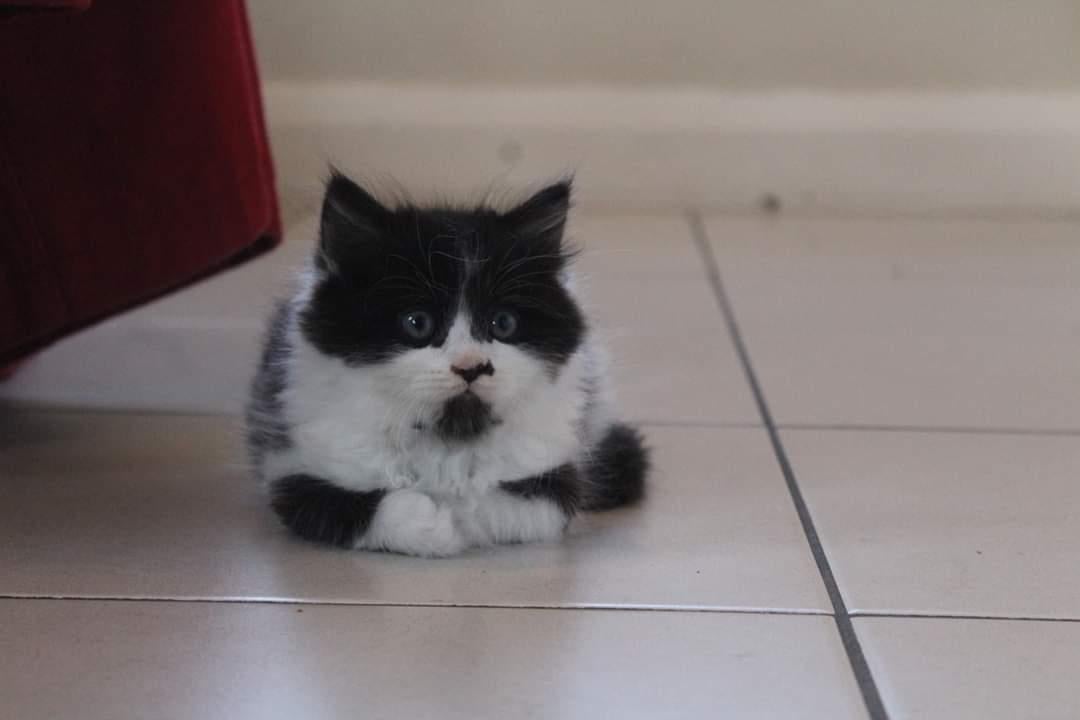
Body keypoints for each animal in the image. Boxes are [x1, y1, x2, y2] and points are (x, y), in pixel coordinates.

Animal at [246, 171, 648, 557]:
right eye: (417, 323)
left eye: (503, 324)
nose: (471, 366)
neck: (448, 439)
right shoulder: (295, 473)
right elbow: (373, 507)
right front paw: (437, 525)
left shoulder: (557, 476)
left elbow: (508, 504)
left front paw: (461, 515)